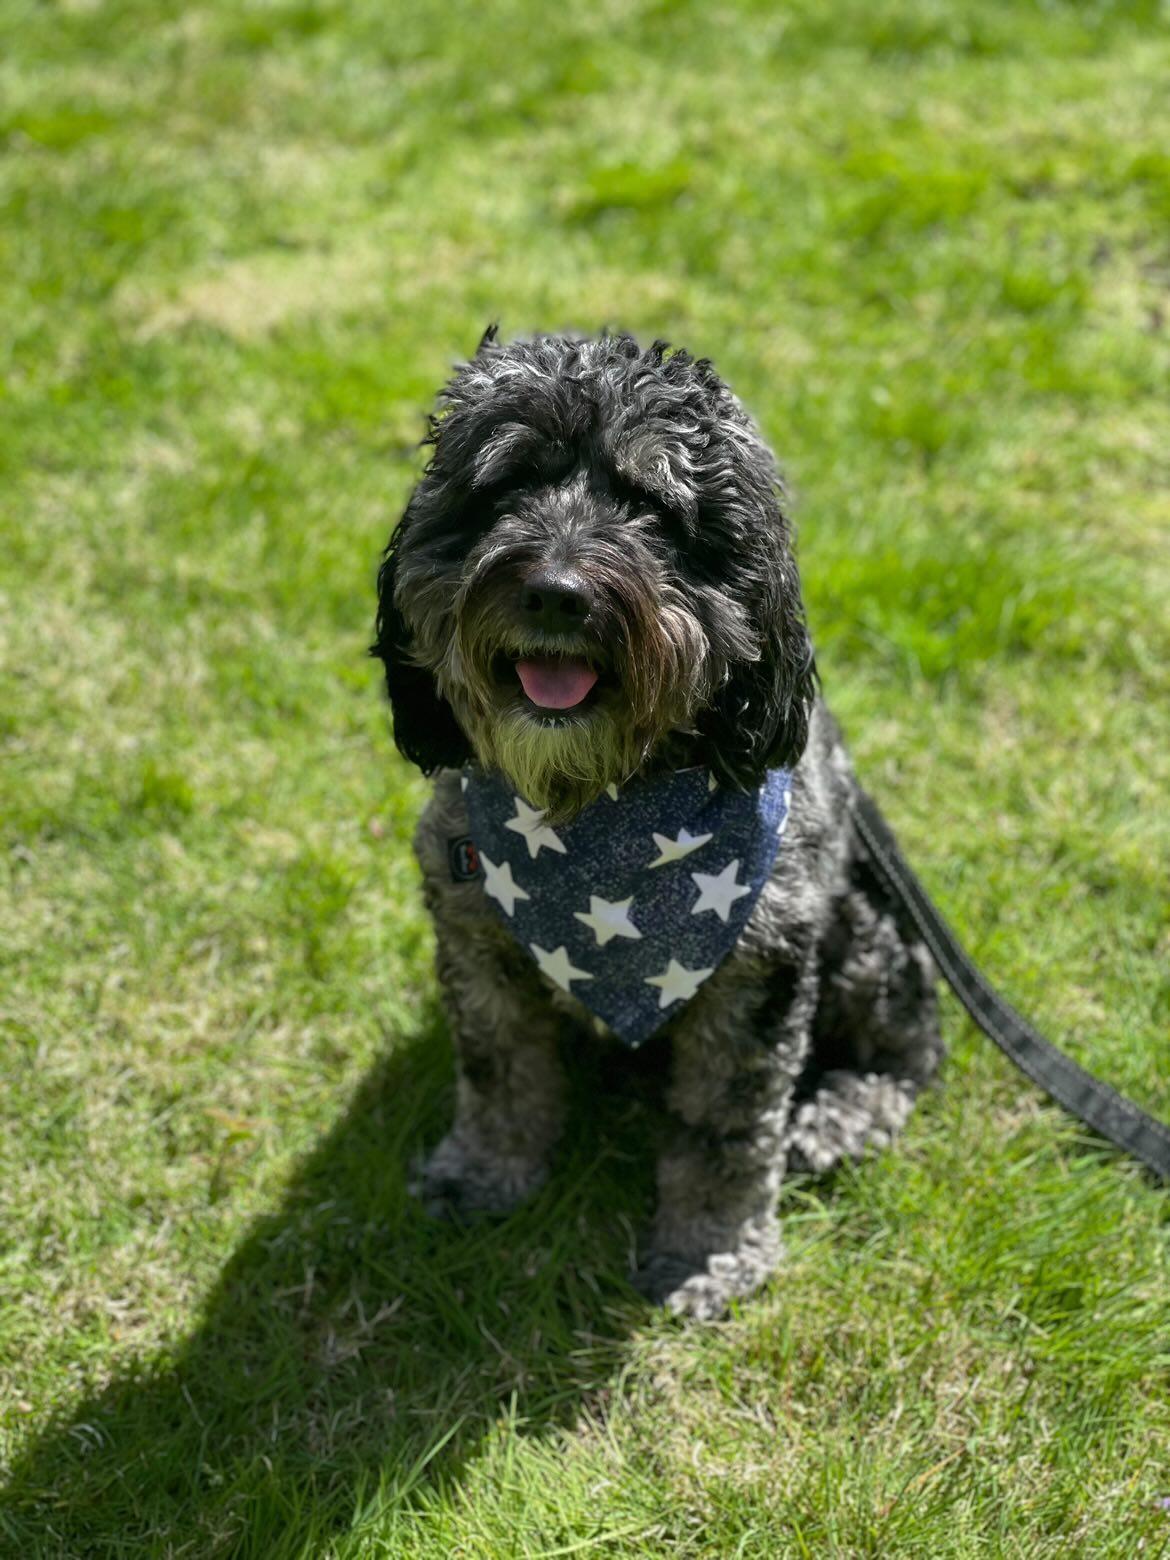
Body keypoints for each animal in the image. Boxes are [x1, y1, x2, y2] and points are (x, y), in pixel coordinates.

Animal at [375, 329, 942, 1316]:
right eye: (509, 484)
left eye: (650, 505)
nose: (557, 591)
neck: (596, 807)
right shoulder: (476, 937)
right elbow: (498, 1073)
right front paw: (484, 1172)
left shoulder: (757, 977)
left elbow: (726, 1131)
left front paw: (708, 1252)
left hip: (868, 930)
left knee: (913, 1046)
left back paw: (841, 1111)